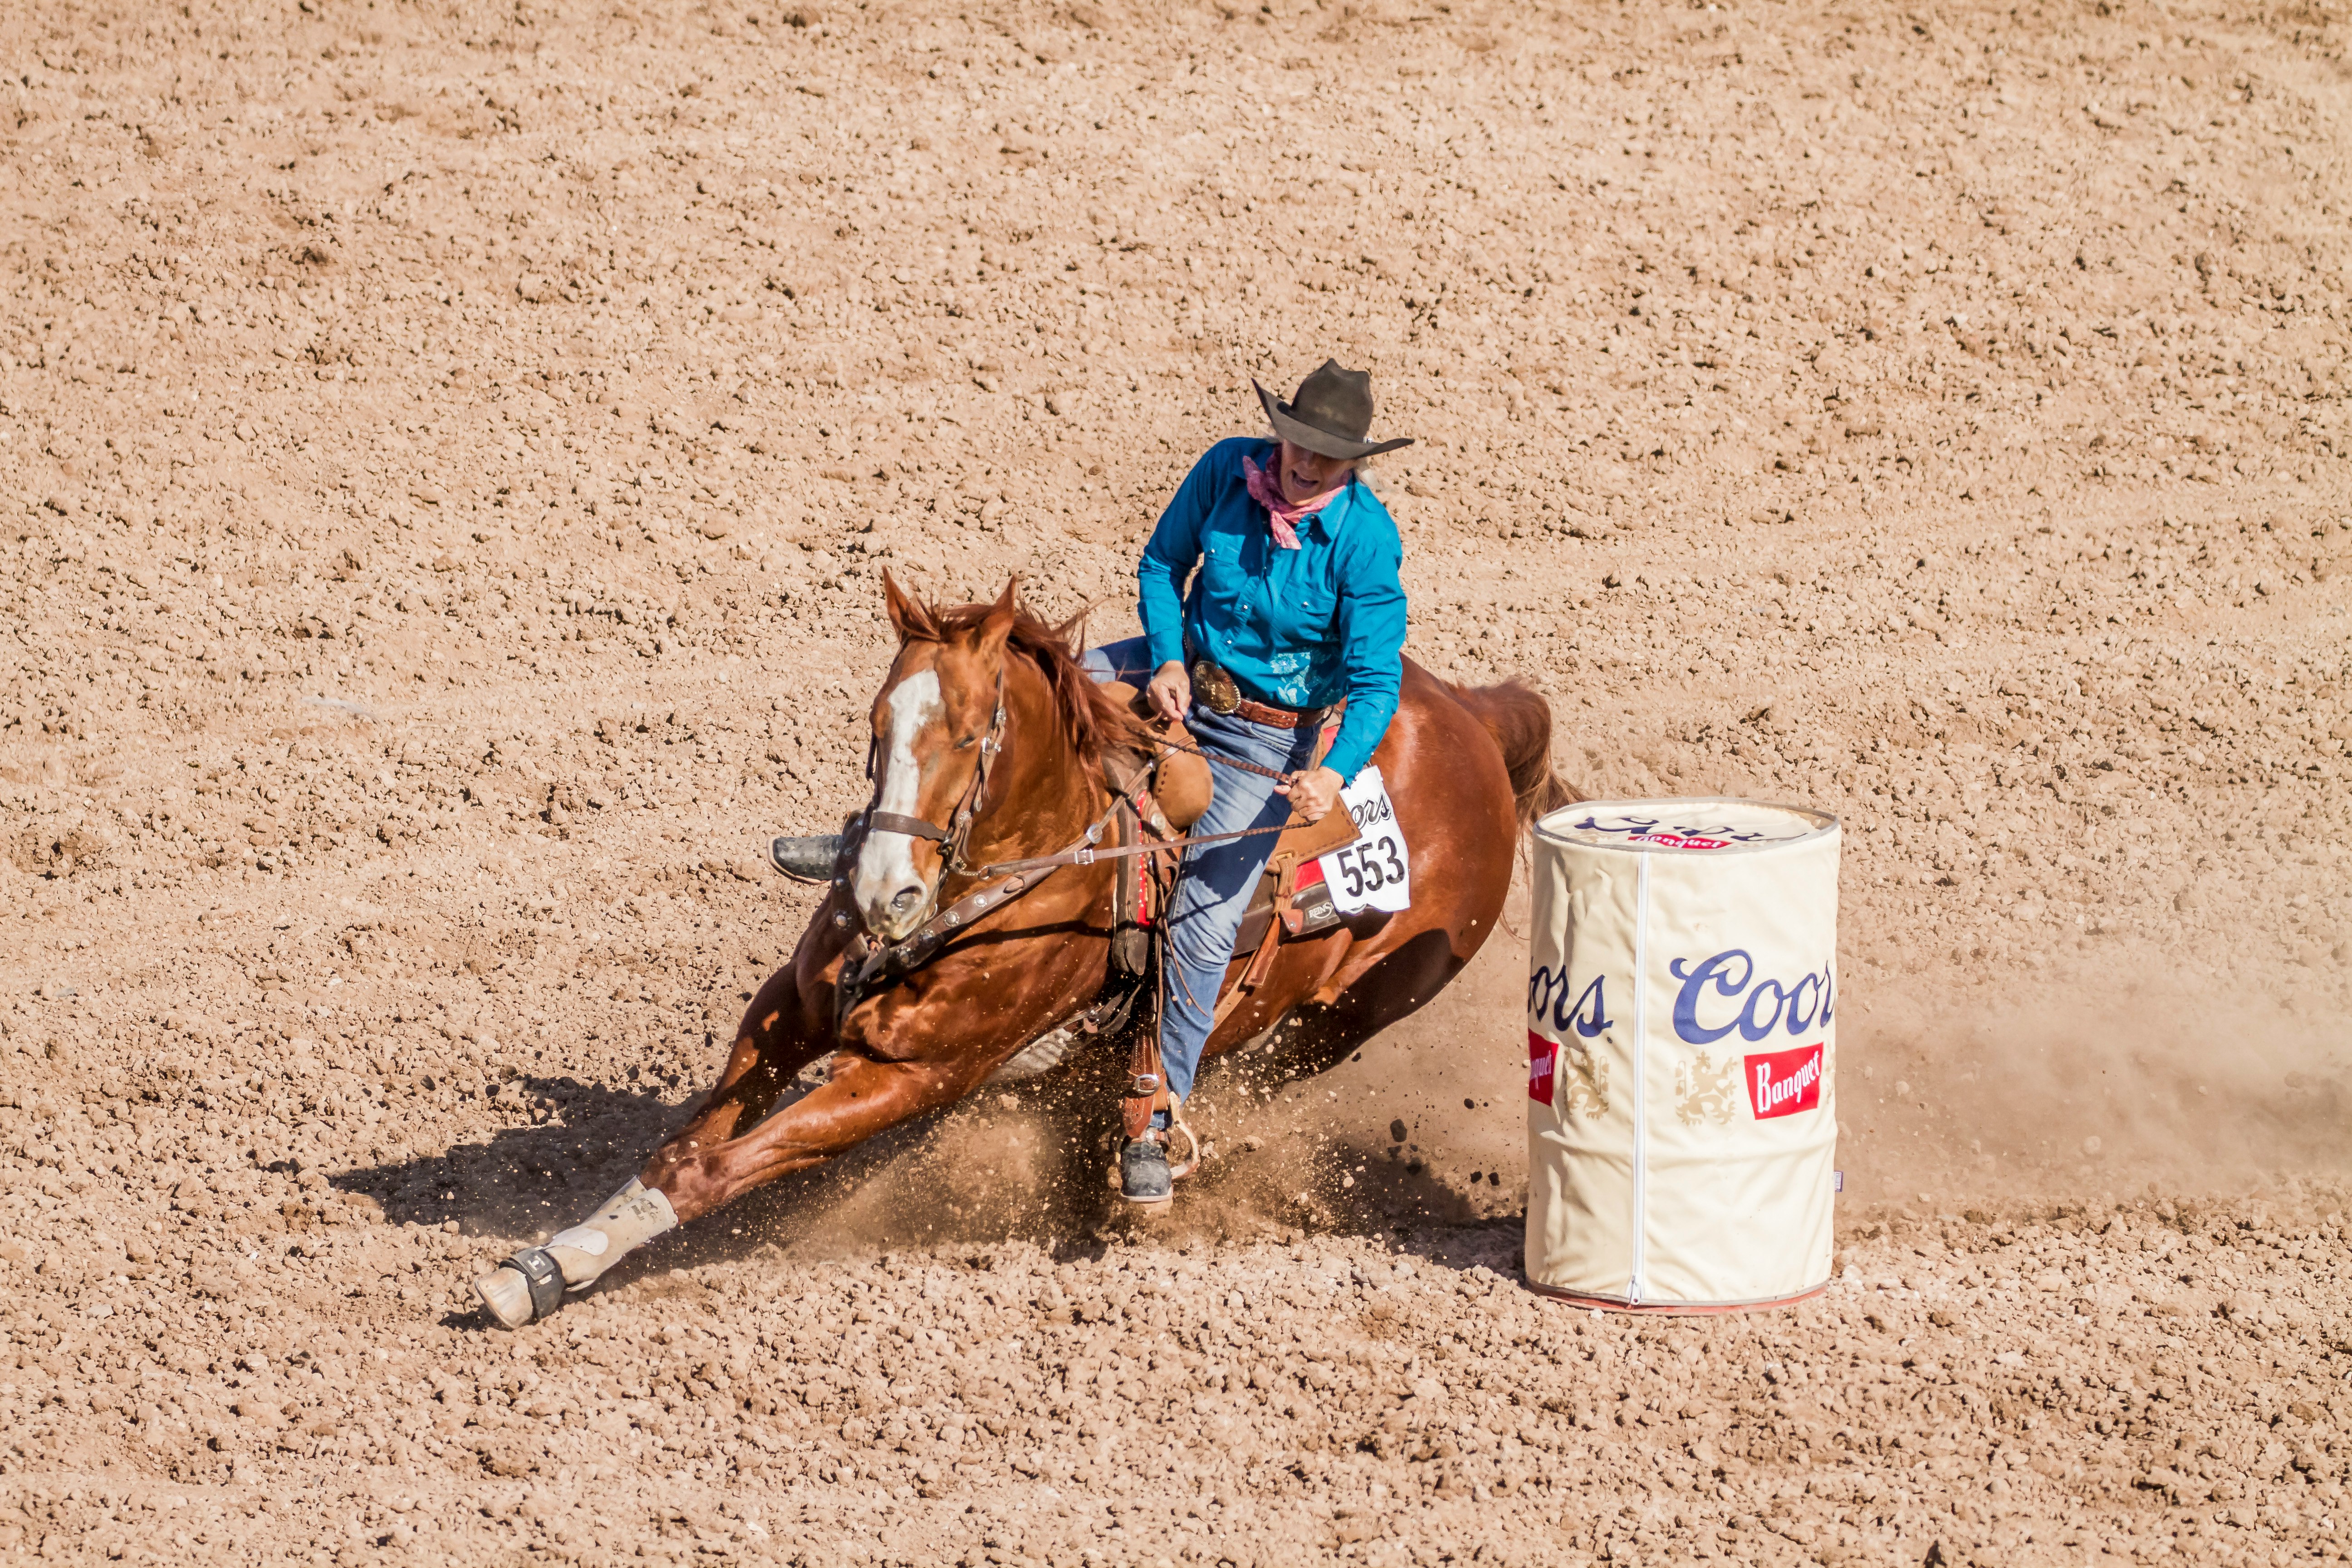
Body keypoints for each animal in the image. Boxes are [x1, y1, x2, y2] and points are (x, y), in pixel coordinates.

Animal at [472, 576, 1562, 1326]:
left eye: (966, 734)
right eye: (876, 722)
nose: (880, 890)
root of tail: (1475, 720)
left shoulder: (911, 1074)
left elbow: (719, 1169)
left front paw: (558, 1272)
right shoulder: (788, 1010)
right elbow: (682, 1149)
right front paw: (556, 1257)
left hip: (1343, 1021)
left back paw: (1139, 1163)